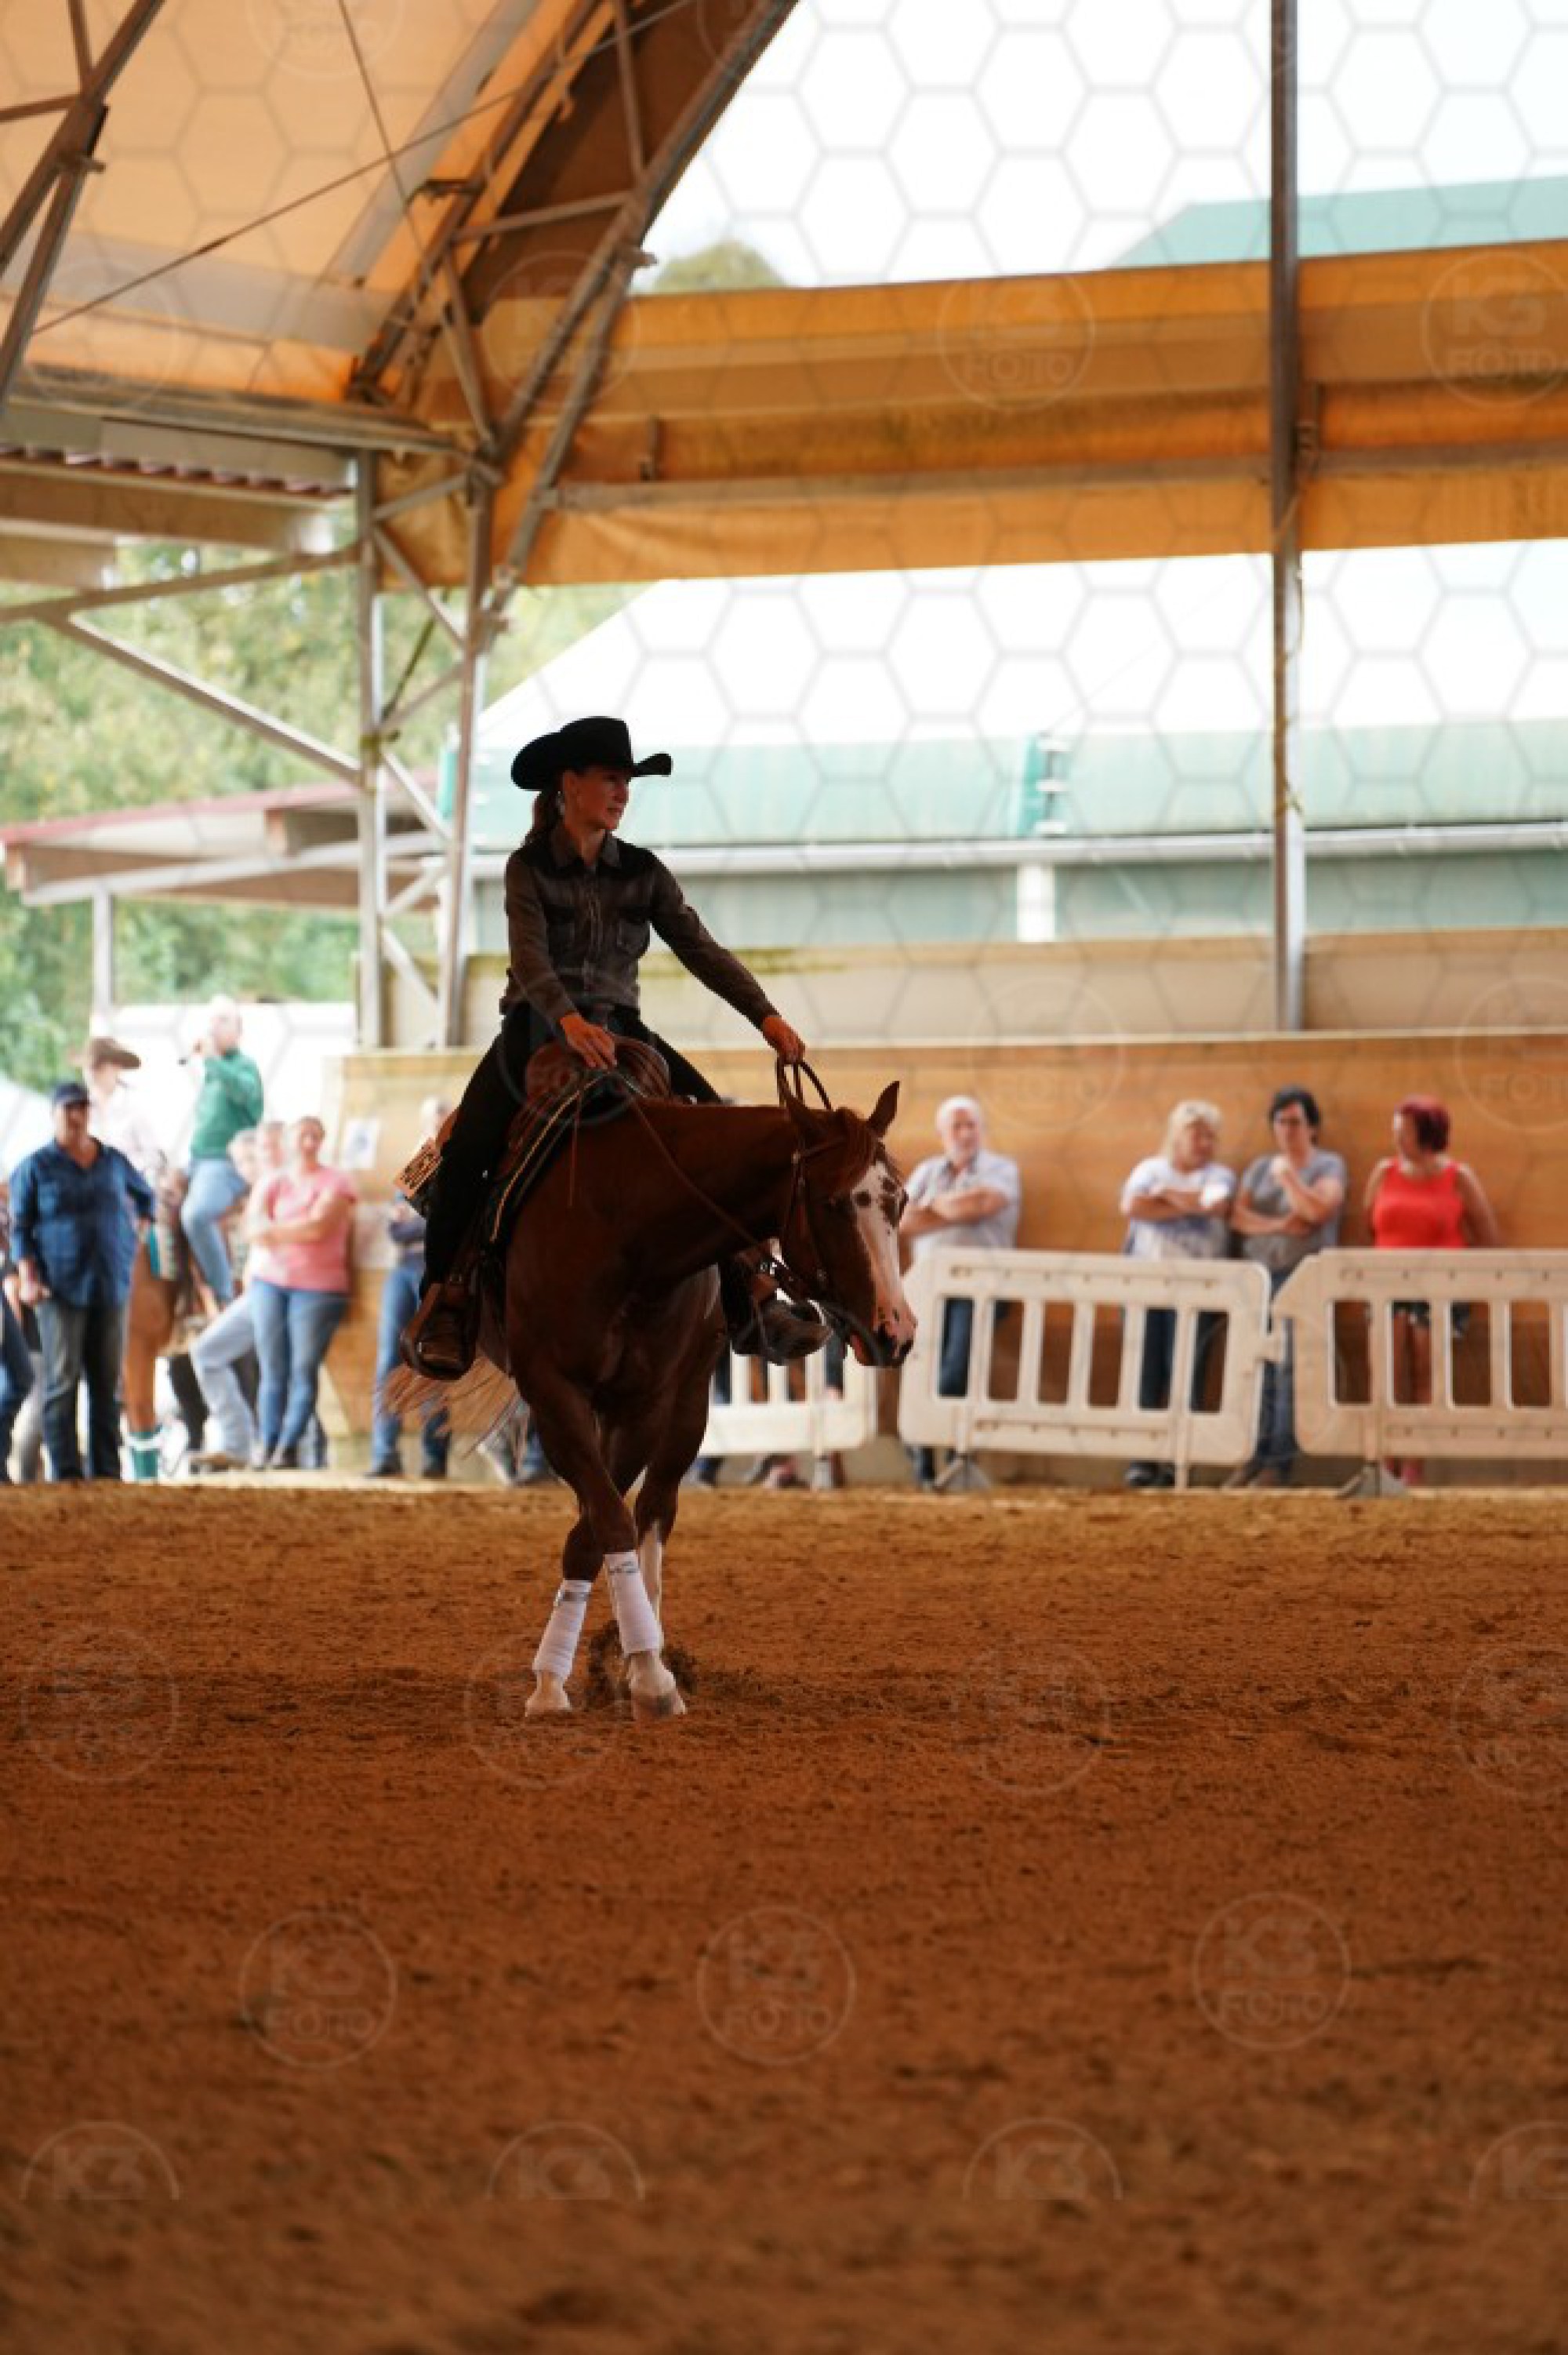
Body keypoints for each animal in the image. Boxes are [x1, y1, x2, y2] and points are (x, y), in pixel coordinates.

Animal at [479, 1058, 916, 1726]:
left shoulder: (648, 1401)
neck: (627, 1224)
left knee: (655, 1507)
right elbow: (603, 1519)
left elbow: (604, 1524)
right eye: (836, 1202)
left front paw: (642, 1670)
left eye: (901, 1199)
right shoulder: (552, 1389)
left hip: (688, 1403)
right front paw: (562, 1682)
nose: (896, 1330)